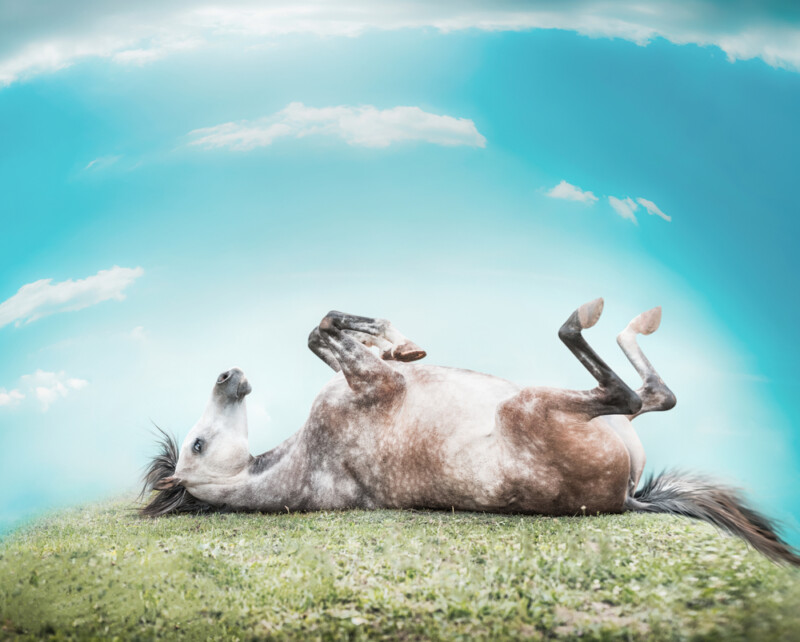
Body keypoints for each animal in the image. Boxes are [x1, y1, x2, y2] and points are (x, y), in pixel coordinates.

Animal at [141, 299, 799, 565]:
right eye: (197, 445)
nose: (229, 376)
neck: (312, 461)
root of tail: (626, 500)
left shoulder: (361, 376)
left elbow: (322, 329)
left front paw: (400, 341)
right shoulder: (374, 384)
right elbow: (325, 330)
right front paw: (400, 343)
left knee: (652, 396)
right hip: (532, 407)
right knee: (634, 393)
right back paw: (588, 317)